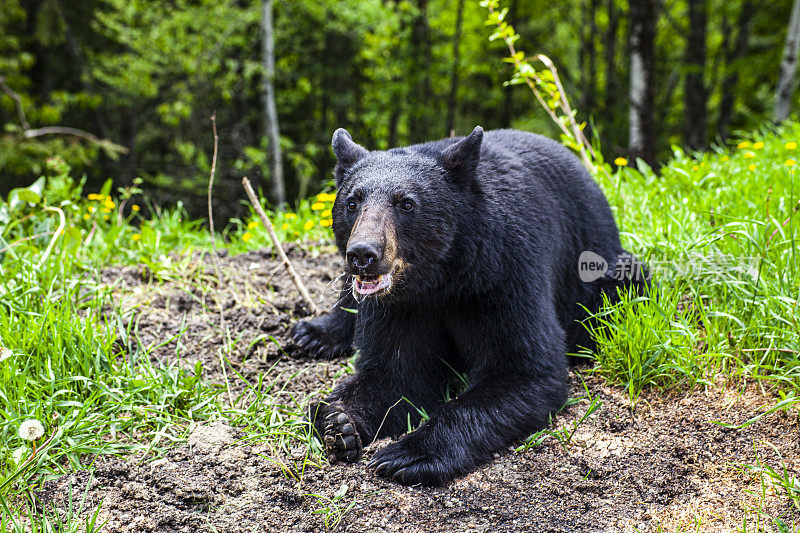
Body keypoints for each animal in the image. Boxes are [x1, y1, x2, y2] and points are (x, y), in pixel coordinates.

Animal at [290, 127, 648, 484]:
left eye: (406, 203)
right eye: (351, 203)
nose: (363, 253)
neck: (440, 277)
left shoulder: (502, 273)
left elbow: (523, 368)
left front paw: (408, 453)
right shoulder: (401, 305)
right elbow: (395, 372)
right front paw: (338, 421)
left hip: (602, 272)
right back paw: (314, 333)